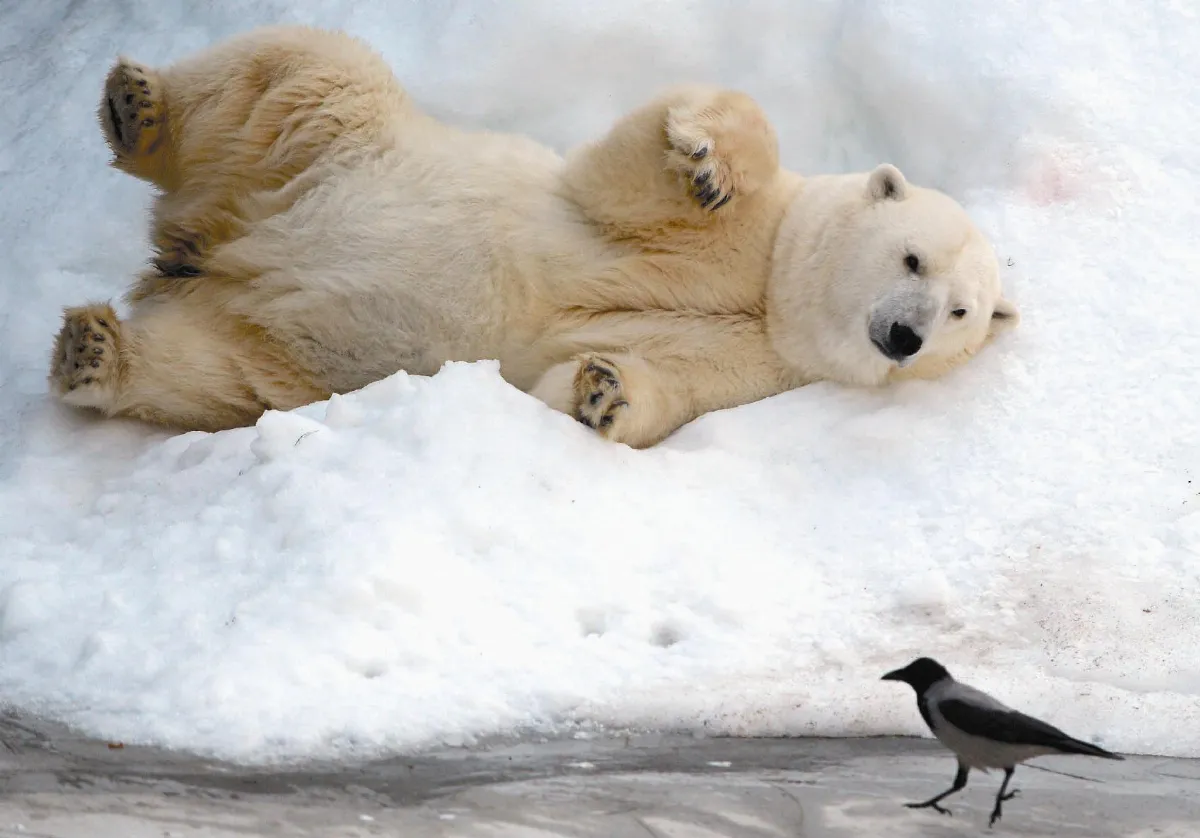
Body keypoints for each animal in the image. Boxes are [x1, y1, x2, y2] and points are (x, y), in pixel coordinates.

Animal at [50, 25, 1019, 449]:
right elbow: (625, 176)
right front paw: (708, 161)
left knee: (219, 373)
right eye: (912, 257)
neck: (771, 292)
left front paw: (604, 390)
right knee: (303, 71)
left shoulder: (759, 367)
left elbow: (646, 383)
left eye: (962, 313)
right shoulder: (711, 233)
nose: (904, 335)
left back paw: (98, 352)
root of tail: (212, 247)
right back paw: (140, 106)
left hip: (275, 347)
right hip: (335, 149)